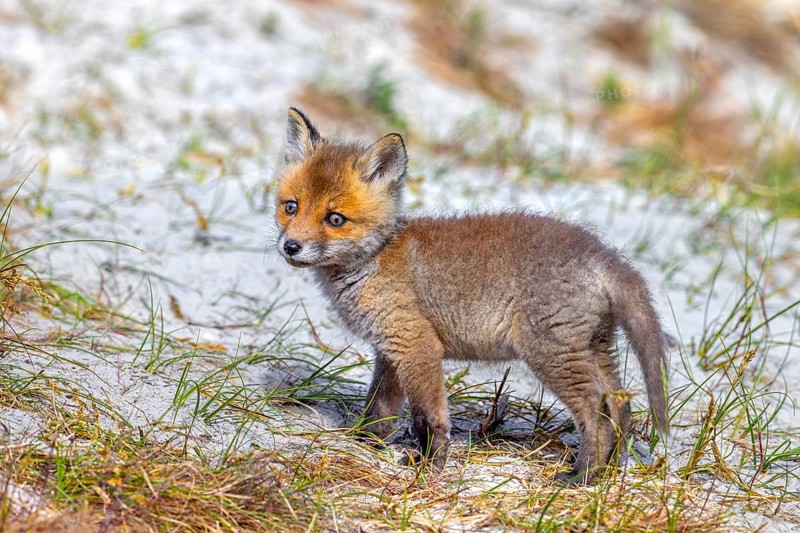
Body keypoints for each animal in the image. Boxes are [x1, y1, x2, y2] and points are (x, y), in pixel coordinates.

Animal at [274, 107, 669, 484]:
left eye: (335, 219)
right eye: (291, 207)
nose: (290, 247)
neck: (376, 258)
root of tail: (602, 253)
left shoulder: (416, 346)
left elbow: (428, 417)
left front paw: (430, 465)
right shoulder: (389, 351)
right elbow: (379, 411)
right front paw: (363, 444)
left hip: (552, 354)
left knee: (598, 414)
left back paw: (581, 476)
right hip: (595, 349)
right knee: (620, 407)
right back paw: (609, 474)